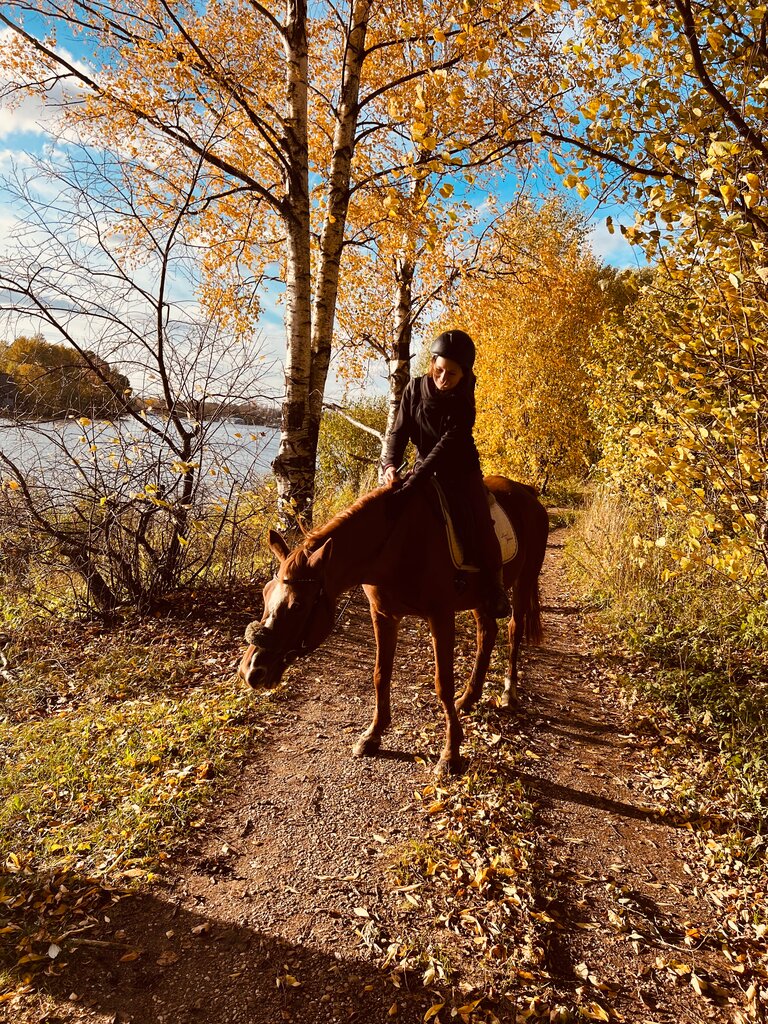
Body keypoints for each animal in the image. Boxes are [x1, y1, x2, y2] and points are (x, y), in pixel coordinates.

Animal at [238, 476, 549, 775]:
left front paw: (450, 755)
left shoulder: (441, 616)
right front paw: (372, 735)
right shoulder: (383, 615)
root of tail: (527, 492)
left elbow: (443, 684)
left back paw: (508, 693)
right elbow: (380, 675)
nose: (251, 671)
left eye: (298, 605)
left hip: (525, 581)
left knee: (513, 630)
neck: (397, 545)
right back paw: (470, 698)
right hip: (479, 599)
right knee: (487, 633)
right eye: (265, 594)